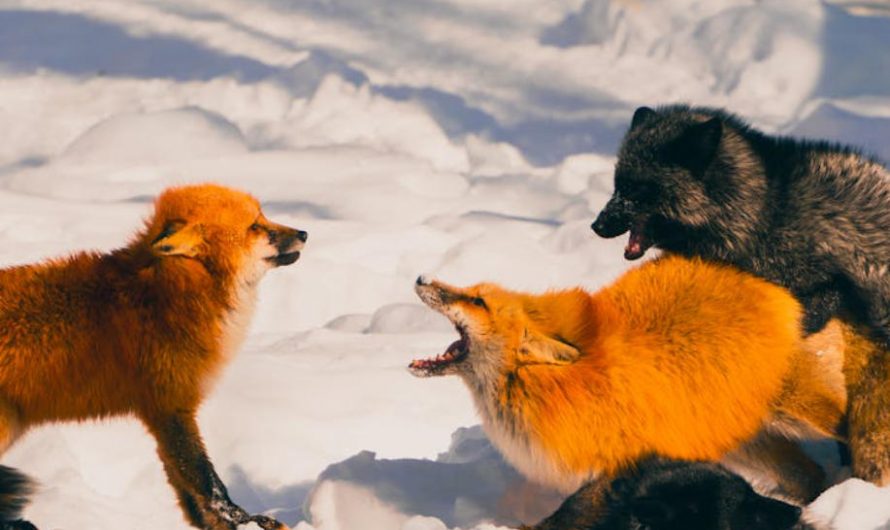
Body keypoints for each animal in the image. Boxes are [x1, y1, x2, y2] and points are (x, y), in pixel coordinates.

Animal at [0, 184, 305, 530]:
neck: (174, 291)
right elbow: (208, 481)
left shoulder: (161, 414)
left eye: (264, 217)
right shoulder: (171, 407)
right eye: (255, 226)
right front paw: (242, 519)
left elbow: (189, 495)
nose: (304, 233)